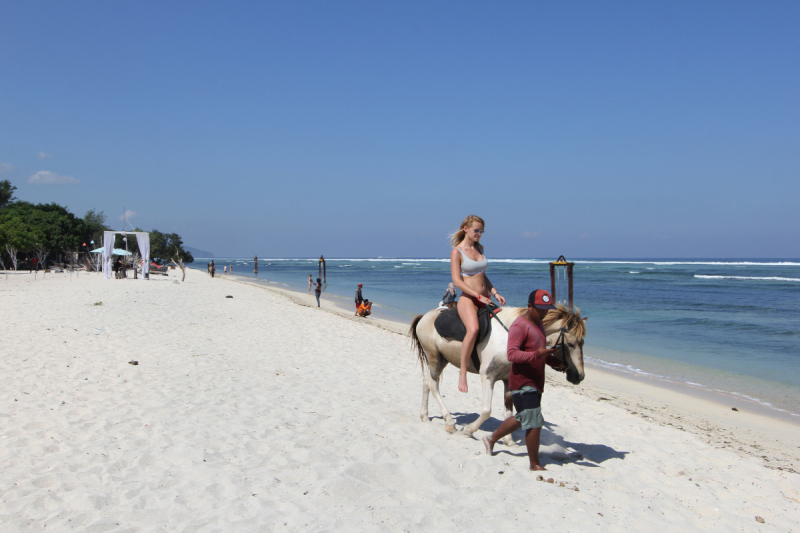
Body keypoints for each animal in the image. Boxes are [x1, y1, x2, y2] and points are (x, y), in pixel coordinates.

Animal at [410, 304, 584, 436]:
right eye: (570, 344)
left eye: (582, 342)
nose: (579, 376)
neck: (508, 338)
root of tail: (425, 316)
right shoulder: (488, 377)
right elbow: (487, 410)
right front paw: (469, 430)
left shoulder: (507, 380)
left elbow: (508, 413)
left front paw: (508, 440)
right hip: (434, 357)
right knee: (433, 385)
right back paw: (449, 421)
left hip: (442, 360)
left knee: (426, 381)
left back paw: (424, 416)